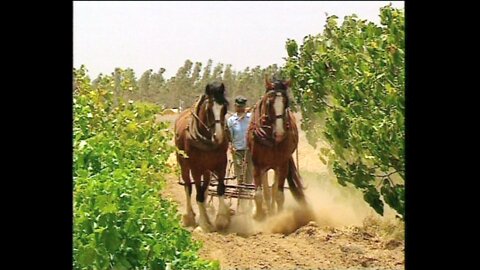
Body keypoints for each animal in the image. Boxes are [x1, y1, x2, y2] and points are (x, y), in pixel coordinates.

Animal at [174, 82, 231, 232]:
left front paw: (221, 219)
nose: (218, 136)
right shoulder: (195, 168)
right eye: (209, 108)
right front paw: (204, 225)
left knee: (204, 191)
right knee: (189, 187)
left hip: (206, 170)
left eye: (224, 107)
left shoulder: (221, 164)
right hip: (184, 166)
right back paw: (189, 217)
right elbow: (198, 194)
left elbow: (220, 189)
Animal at [246, 76, 306, 219]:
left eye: (286, 103)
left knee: (273, 189)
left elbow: (278, 195)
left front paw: (278, 216)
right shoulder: (257, 165)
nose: (279, 133)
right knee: (266, 191)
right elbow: (259, 194)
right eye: (269, 102)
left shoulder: (282, 165)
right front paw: (259, 215)